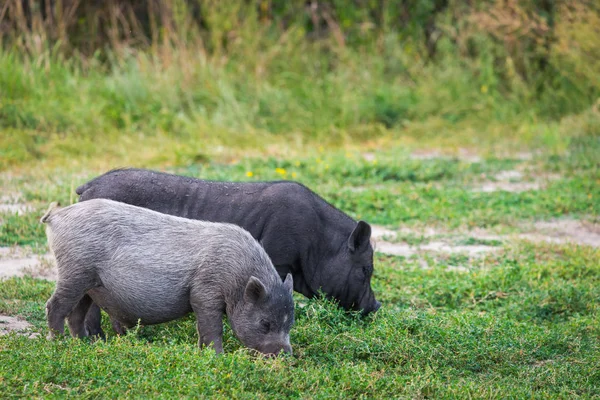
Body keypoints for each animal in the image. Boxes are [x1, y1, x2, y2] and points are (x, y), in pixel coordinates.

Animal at [41, 198, 294, 354]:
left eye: (290, 323)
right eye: (265, 323)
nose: (285, 354)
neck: (237, 279)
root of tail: (58, 216)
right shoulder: (205, 291)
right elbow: (212, 327)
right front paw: (217, 356)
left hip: (88, 284)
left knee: (76, 313)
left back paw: (83, 344)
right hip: (74, 272)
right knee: (55, 306)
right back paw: (59, 343)